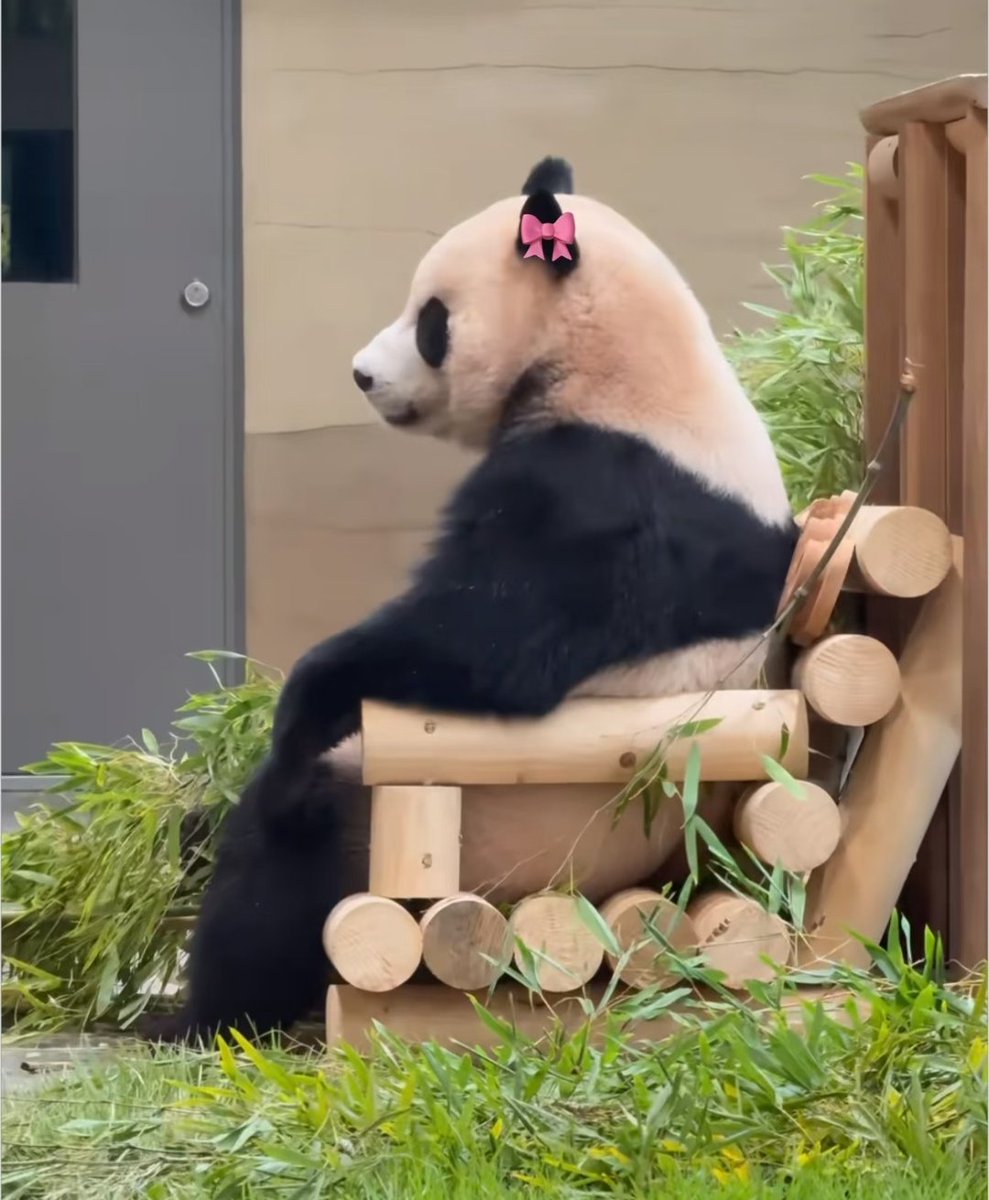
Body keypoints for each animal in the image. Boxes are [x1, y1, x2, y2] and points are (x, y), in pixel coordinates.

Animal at [143, 157, 796, 1044]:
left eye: (429, 320)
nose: (360, 373)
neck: (622, 366)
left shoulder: (611, 493)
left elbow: (488, 644)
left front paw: (299, 705)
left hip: (482, 840)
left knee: (278, 869)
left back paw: (202, 1015)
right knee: (225, 835)